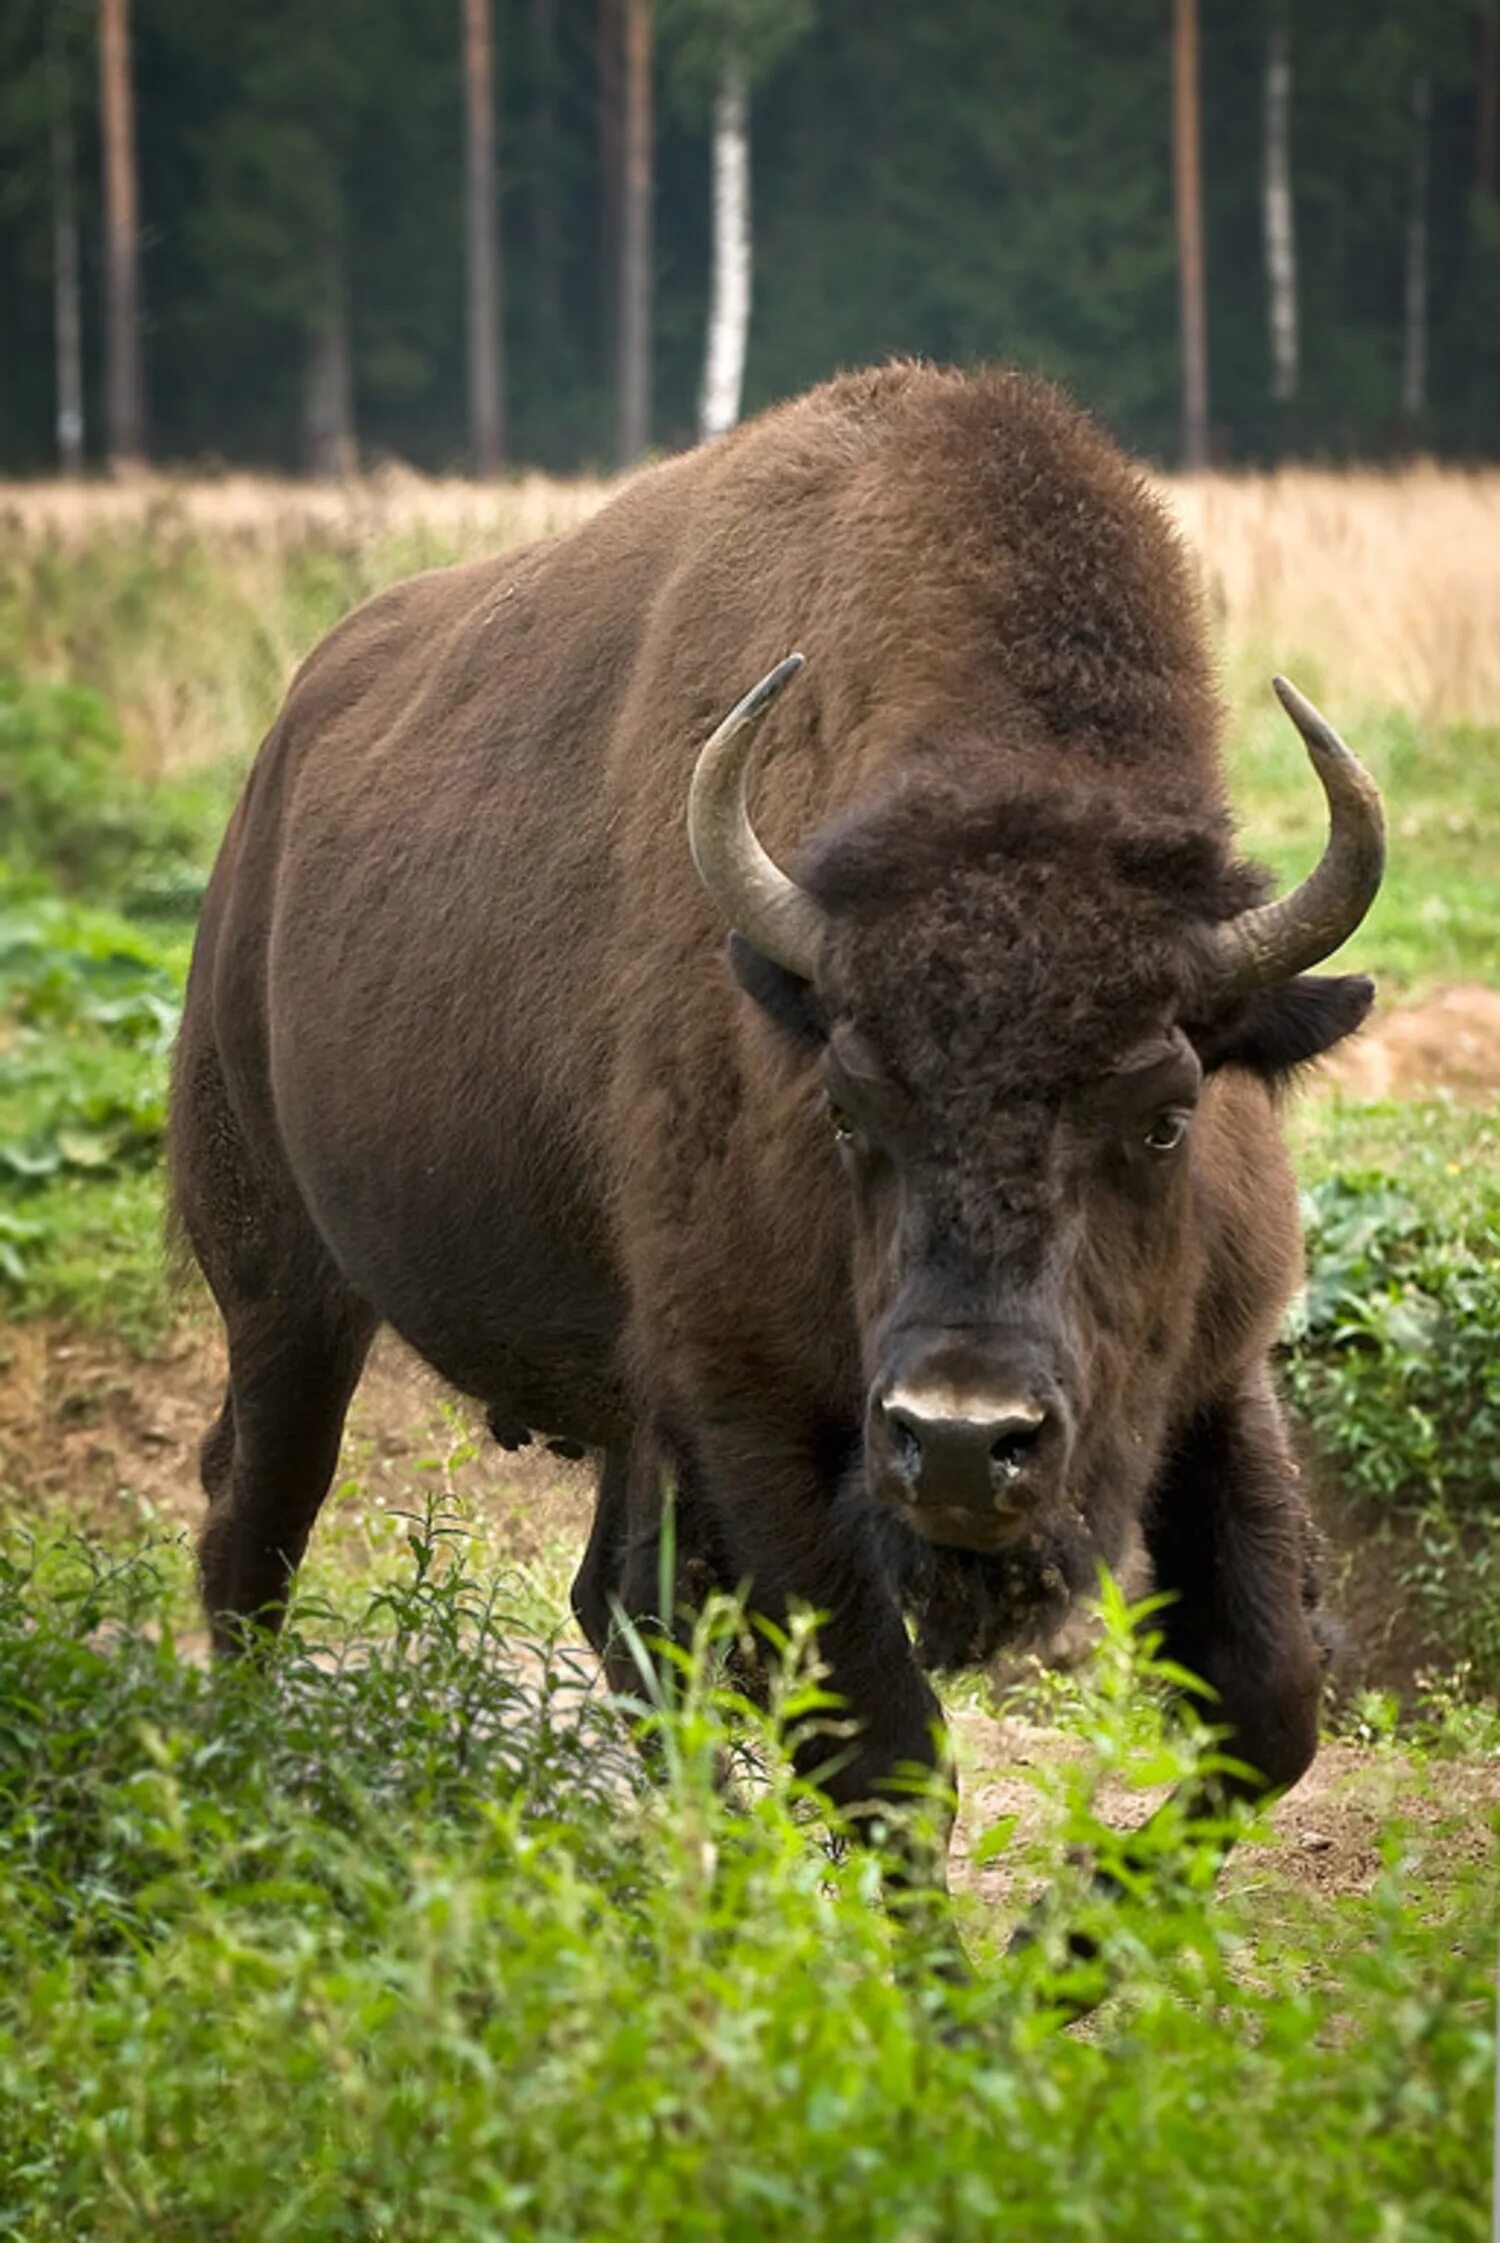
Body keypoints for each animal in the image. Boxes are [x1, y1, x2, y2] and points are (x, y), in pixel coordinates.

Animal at [172, 363, 1381, 1875]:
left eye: (1166, 1117)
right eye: (850, 1108)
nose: (966, 1436)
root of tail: (271, 780)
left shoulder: (1214, 1369)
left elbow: (1268, 1701)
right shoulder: (751, 1408)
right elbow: (887, 1750)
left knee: (614, 1607)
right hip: (286, 1288)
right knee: (259, 1515)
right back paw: (250, 1777)